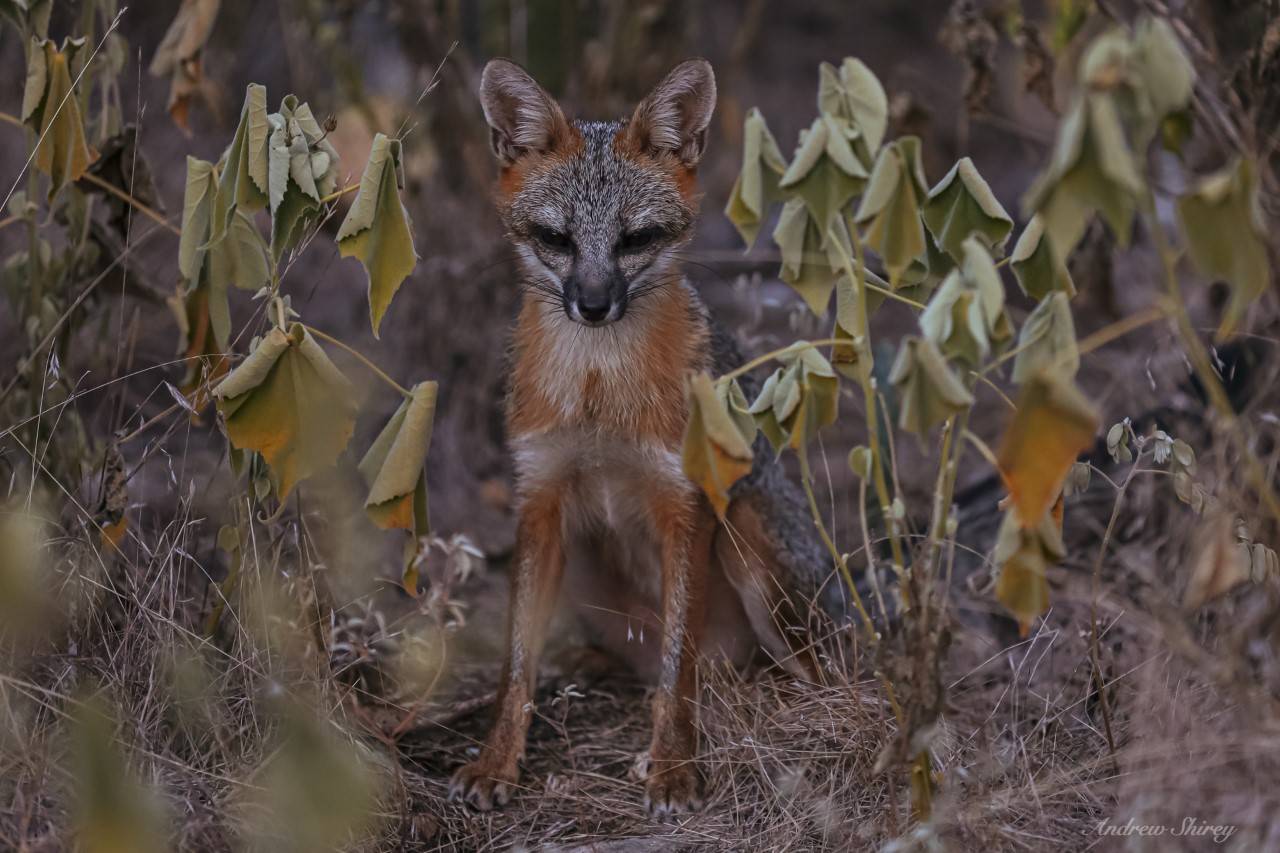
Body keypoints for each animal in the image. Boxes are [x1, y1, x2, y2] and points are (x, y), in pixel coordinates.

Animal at [450, 56, 839, 814]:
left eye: (637, 238)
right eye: (556, 238)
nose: (594, 305)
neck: (599, 391)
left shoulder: (683, 501)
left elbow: (676, 666)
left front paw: (673, 767)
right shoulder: (539, 496)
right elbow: (516, 663)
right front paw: (495, 761)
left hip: (748, 539)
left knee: (795, 672)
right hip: (583, 558)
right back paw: (590, 663)